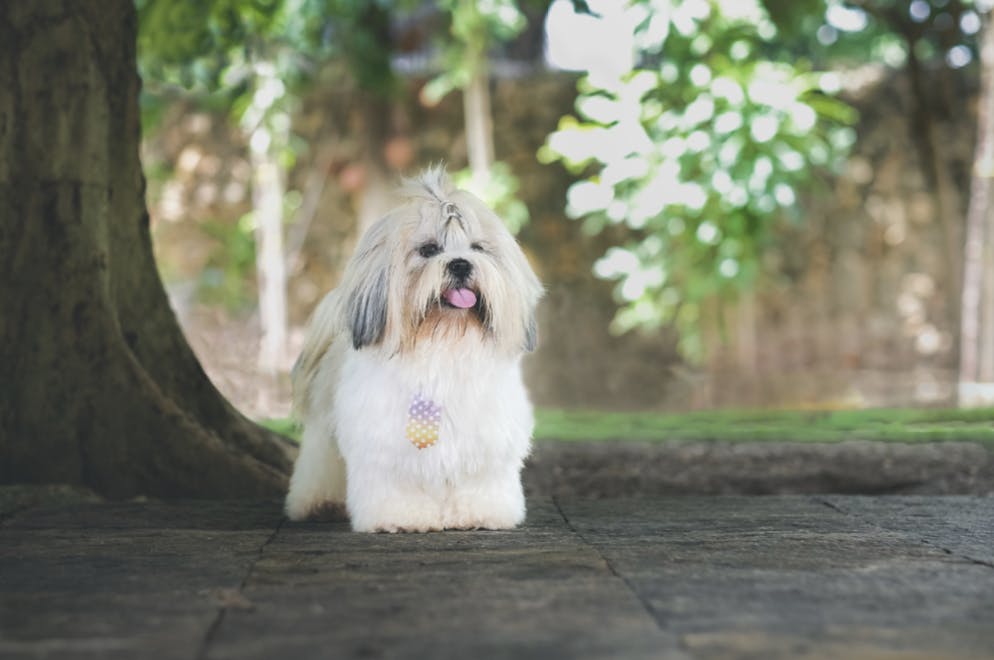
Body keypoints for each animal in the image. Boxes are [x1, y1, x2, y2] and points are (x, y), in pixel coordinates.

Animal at [282, 166, 544, 532]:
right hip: (325, 431)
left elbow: (478, 481)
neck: (444, 345)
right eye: (429, 249)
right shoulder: (384, 443)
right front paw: (402, 516)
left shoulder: (487, 440)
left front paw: (480, 513)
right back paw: (317, 502)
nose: (460, 264)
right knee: (320, 462)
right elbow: (397, 485)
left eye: (478, 248)